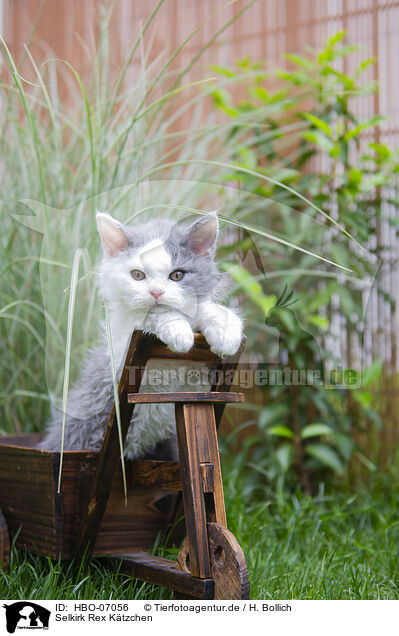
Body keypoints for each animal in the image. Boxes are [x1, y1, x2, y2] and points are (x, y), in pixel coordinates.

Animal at [39, 212, 244, 458]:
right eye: (137, 275)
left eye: (177, 275)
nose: (156, 292)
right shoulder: (122, 349)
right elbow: (151, 316)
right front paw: (178, 331)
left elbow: (204, 308)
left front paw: (226, 331)